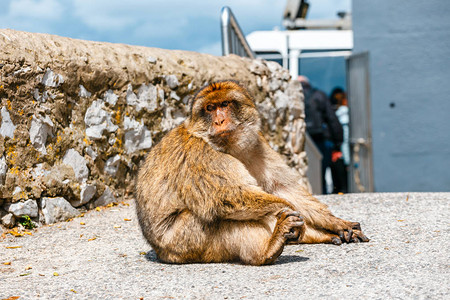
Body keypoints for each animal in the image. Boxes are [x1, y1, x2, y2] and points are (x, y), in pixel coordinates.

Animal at [135, 79, 368, 264]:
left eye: (225, 104)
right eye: (210, 108)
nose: (219, 120)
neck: (226, 146)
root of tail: (161, 253)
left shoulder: (258, 143)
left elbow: (283, 189)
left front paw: (335, 223)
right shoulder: (199, 155)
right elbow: (228, 196)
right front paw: (292, 214)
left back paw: (317, 236)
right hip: (182, 242)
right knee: (219, 217)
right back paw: (267, 250)